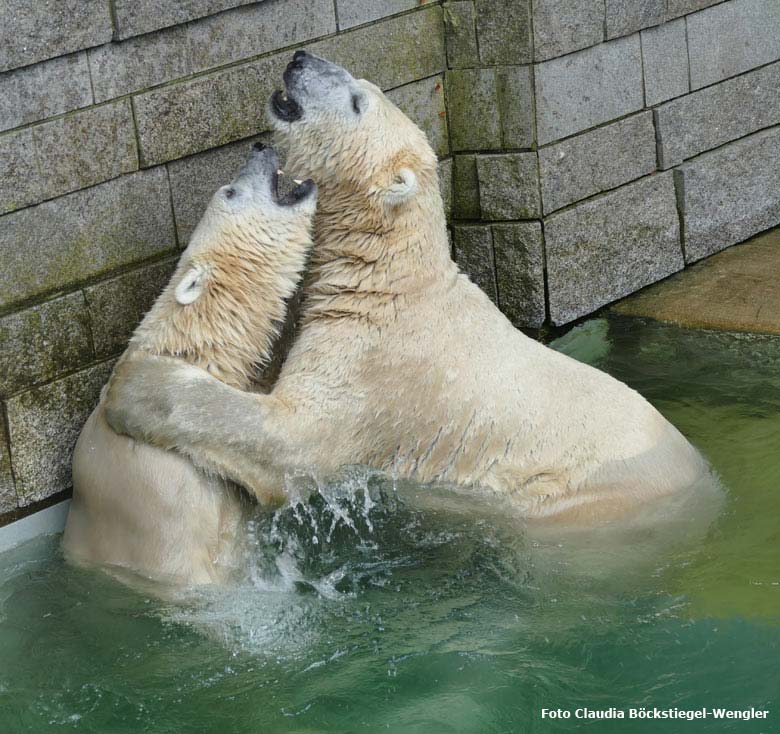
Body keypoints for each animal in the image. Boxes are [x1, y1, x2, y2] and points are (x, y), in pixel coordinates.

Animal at [100, 53, 716, 524]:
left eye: (357, 100)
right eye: (357, 79)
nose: (300, 58)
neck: (387, 280)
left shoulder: (376, 372)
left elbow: (290, 439)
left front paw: (133, 383)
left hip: (569, 500)